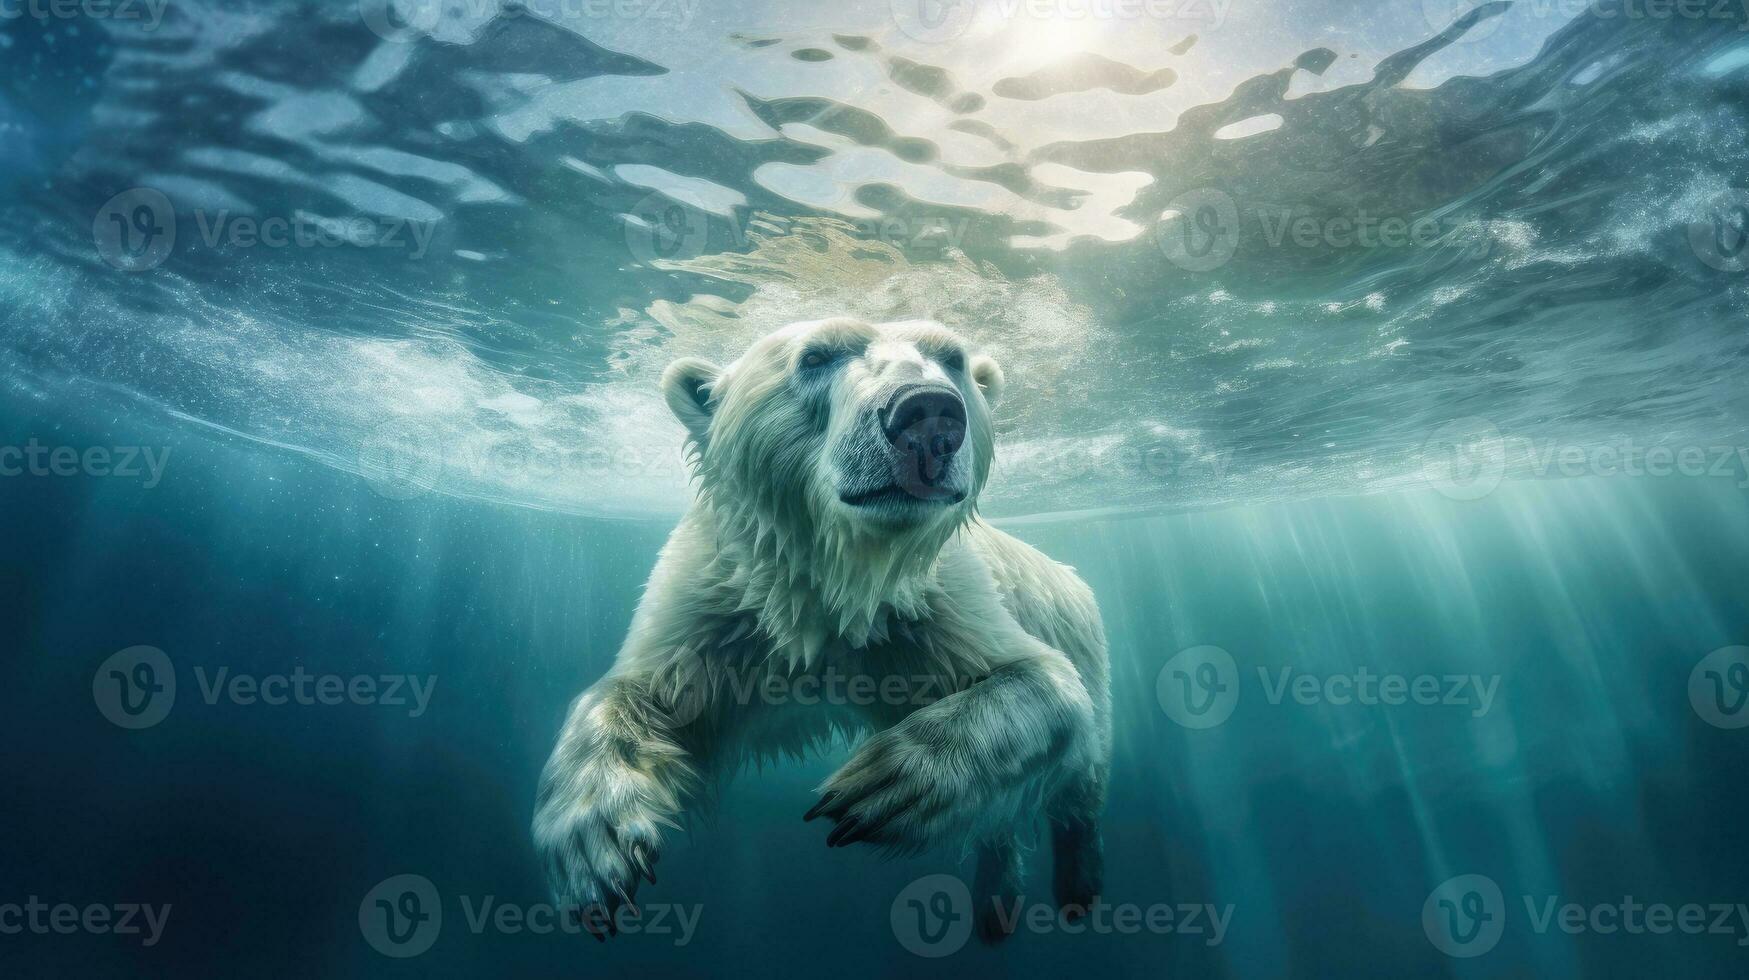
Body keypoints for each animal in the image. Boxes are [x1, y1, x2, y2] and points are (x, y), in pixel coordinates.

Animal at [531, 318, 1105, 938]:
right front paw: (593, 846)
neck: (833, 588)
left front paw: (890, 780)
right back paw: (996, 906)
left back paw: (1077, 887)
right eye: (815, 356)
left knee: (1083, 777)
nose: (929, 413)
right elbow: (643, 693)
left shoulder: (931, 609)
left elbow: (1046, 682)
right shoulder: (721, 603)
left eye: (952, 357)